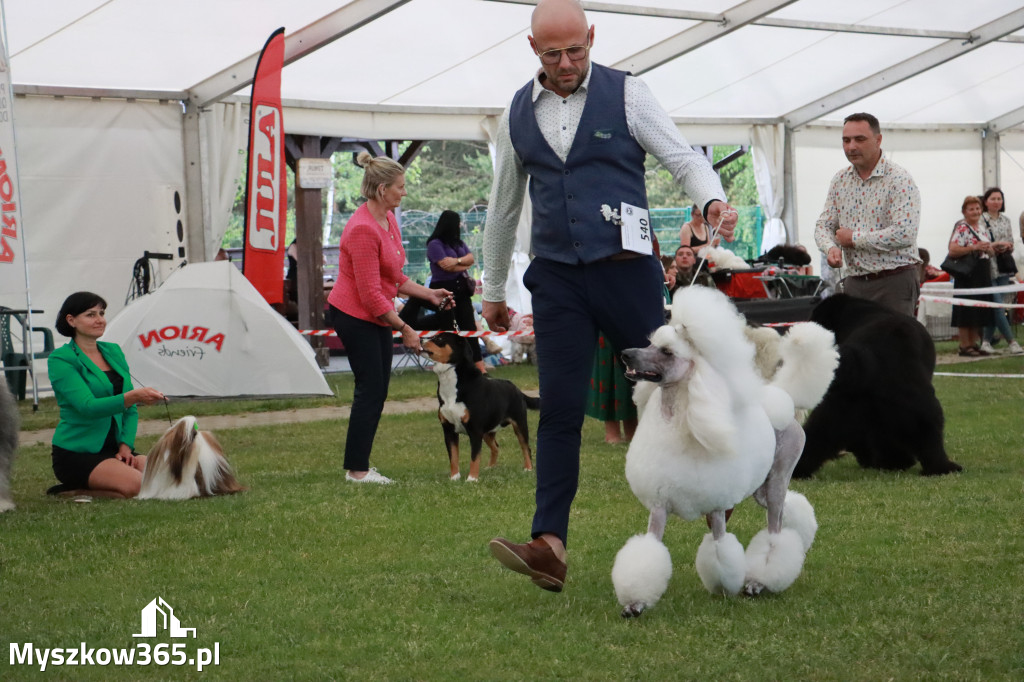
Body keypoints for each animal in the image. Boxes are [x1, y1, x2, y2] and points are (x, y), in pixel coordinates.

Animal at [606, 284, 839, 614]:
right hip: (762, 488)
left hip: (779, 476)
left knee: (775, 529)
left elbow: (720, 546)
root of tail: (784, 399)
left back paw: (759, 581)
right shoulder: (659, 505)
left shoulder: (716, 505)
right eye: (650, 343)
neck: (680, 418)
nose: (626, 354)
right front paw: (635, 603)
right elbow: (649, 547)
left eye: (667, 352)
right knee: (789, 509)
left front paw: (726, 586)